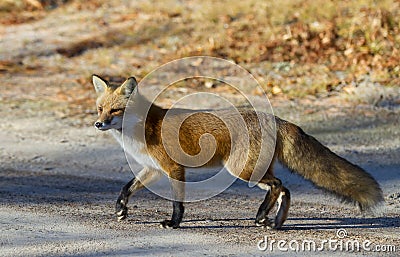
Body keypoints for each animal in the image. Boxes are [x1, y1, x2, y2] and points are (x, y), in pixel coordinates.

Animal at [91, 74, 384, 228]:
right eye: (100, 108)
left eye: (115, 110)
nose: (98, 124)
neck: (142, 129)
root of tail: (274, 117)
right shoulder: (152, 169)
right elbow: (126, 188)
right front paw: (121, 209)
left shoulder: (174, 168)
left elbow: (177, 203)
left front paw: (173, 223)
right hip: (253, 171)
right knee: (285, 189)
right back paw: (274, 221)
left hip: (242, 169)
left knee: (279, 185)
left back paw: (263, 216)